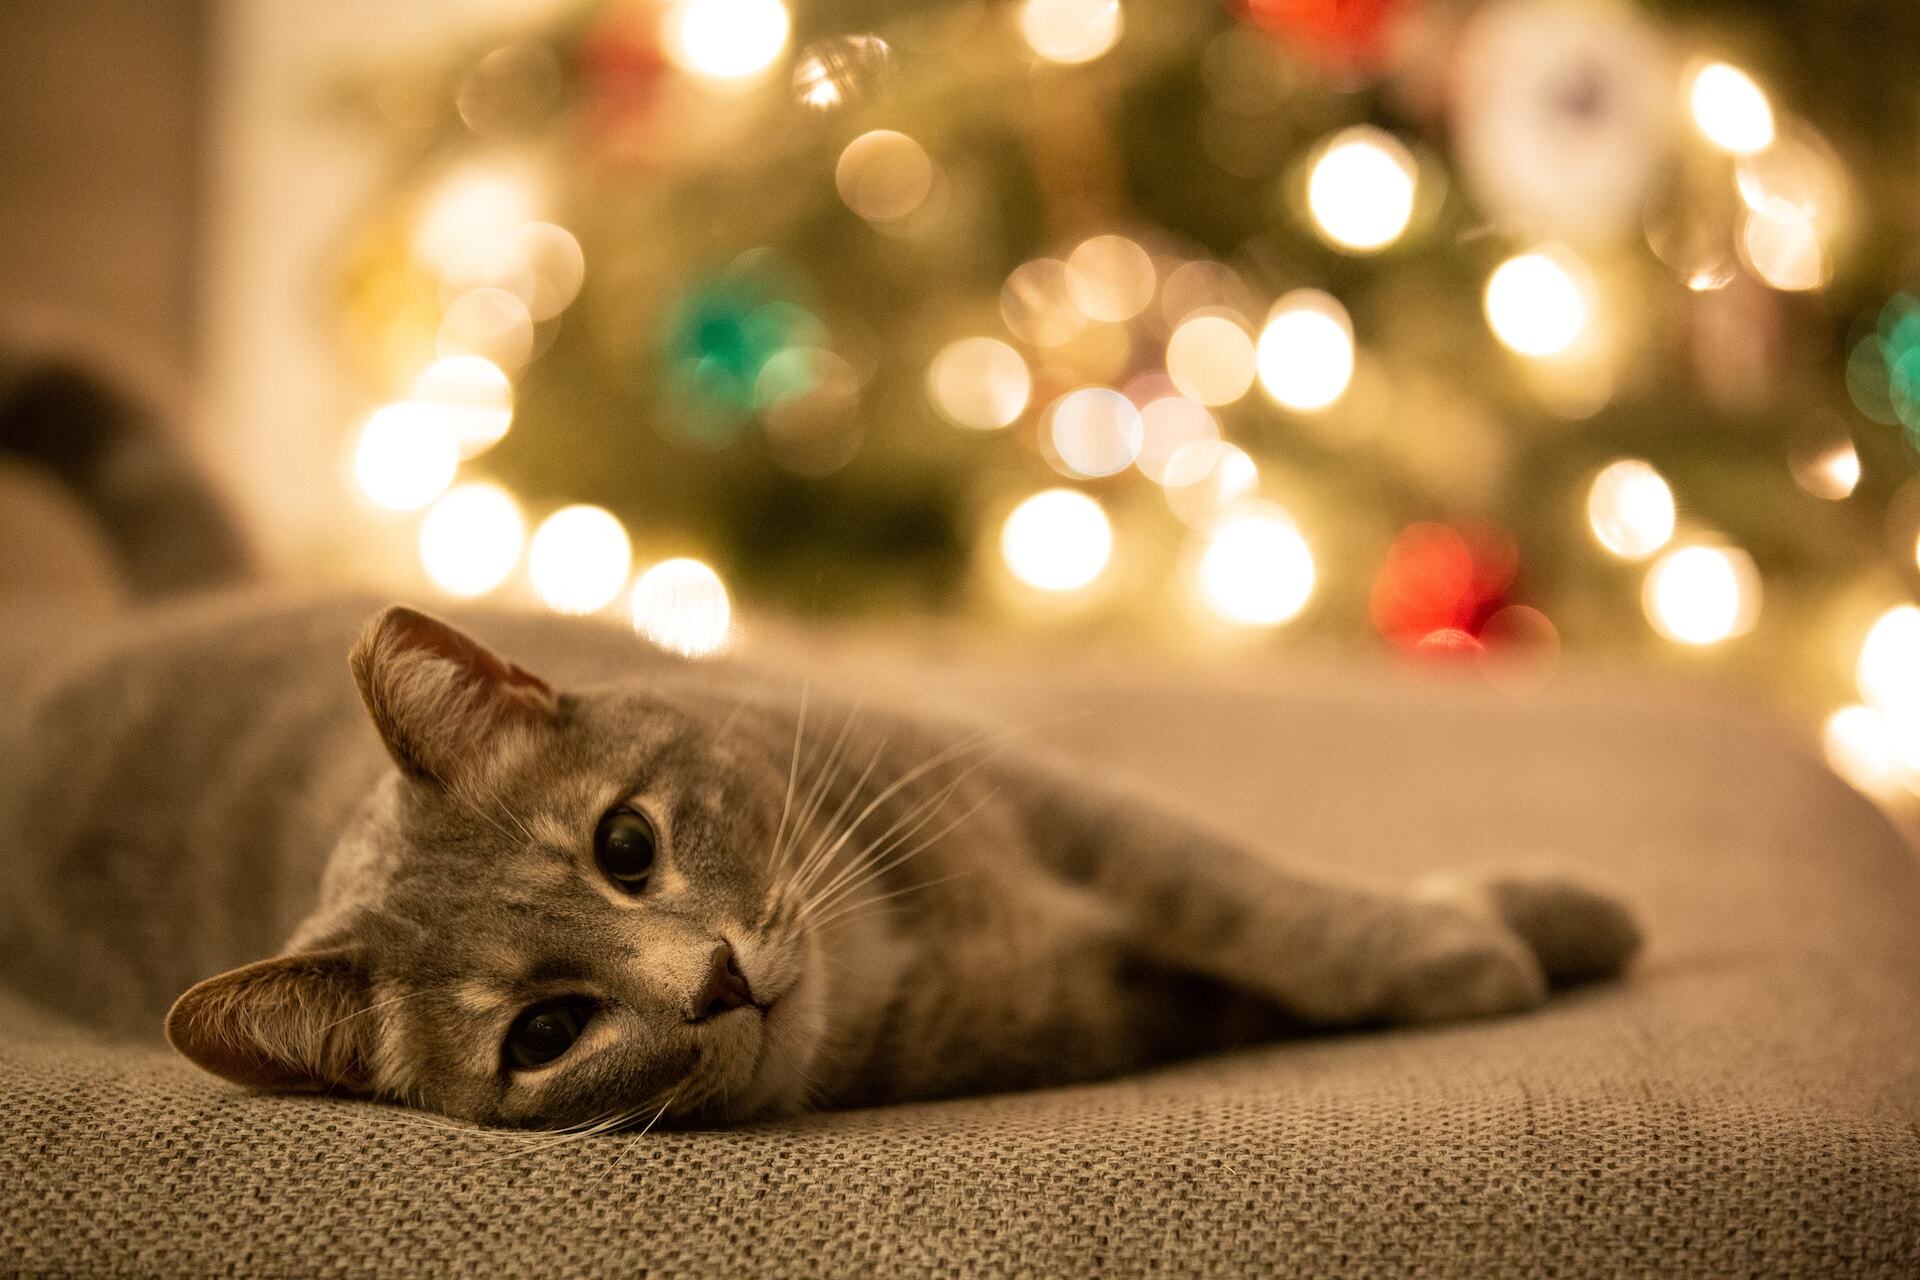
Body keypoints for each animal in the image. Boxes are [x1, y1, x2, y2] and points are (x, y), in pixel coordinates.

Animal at [3, 351, 1651, 1128]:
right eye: (543, 1034)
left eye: (625, 844)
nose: (715, 981)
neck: (913, 945)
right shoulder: (1099, 1004)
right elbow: (1258, 952)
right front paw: (1496, 943)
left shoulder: (1033, 789)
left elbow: (1254, 891)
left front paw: (1504, 930)